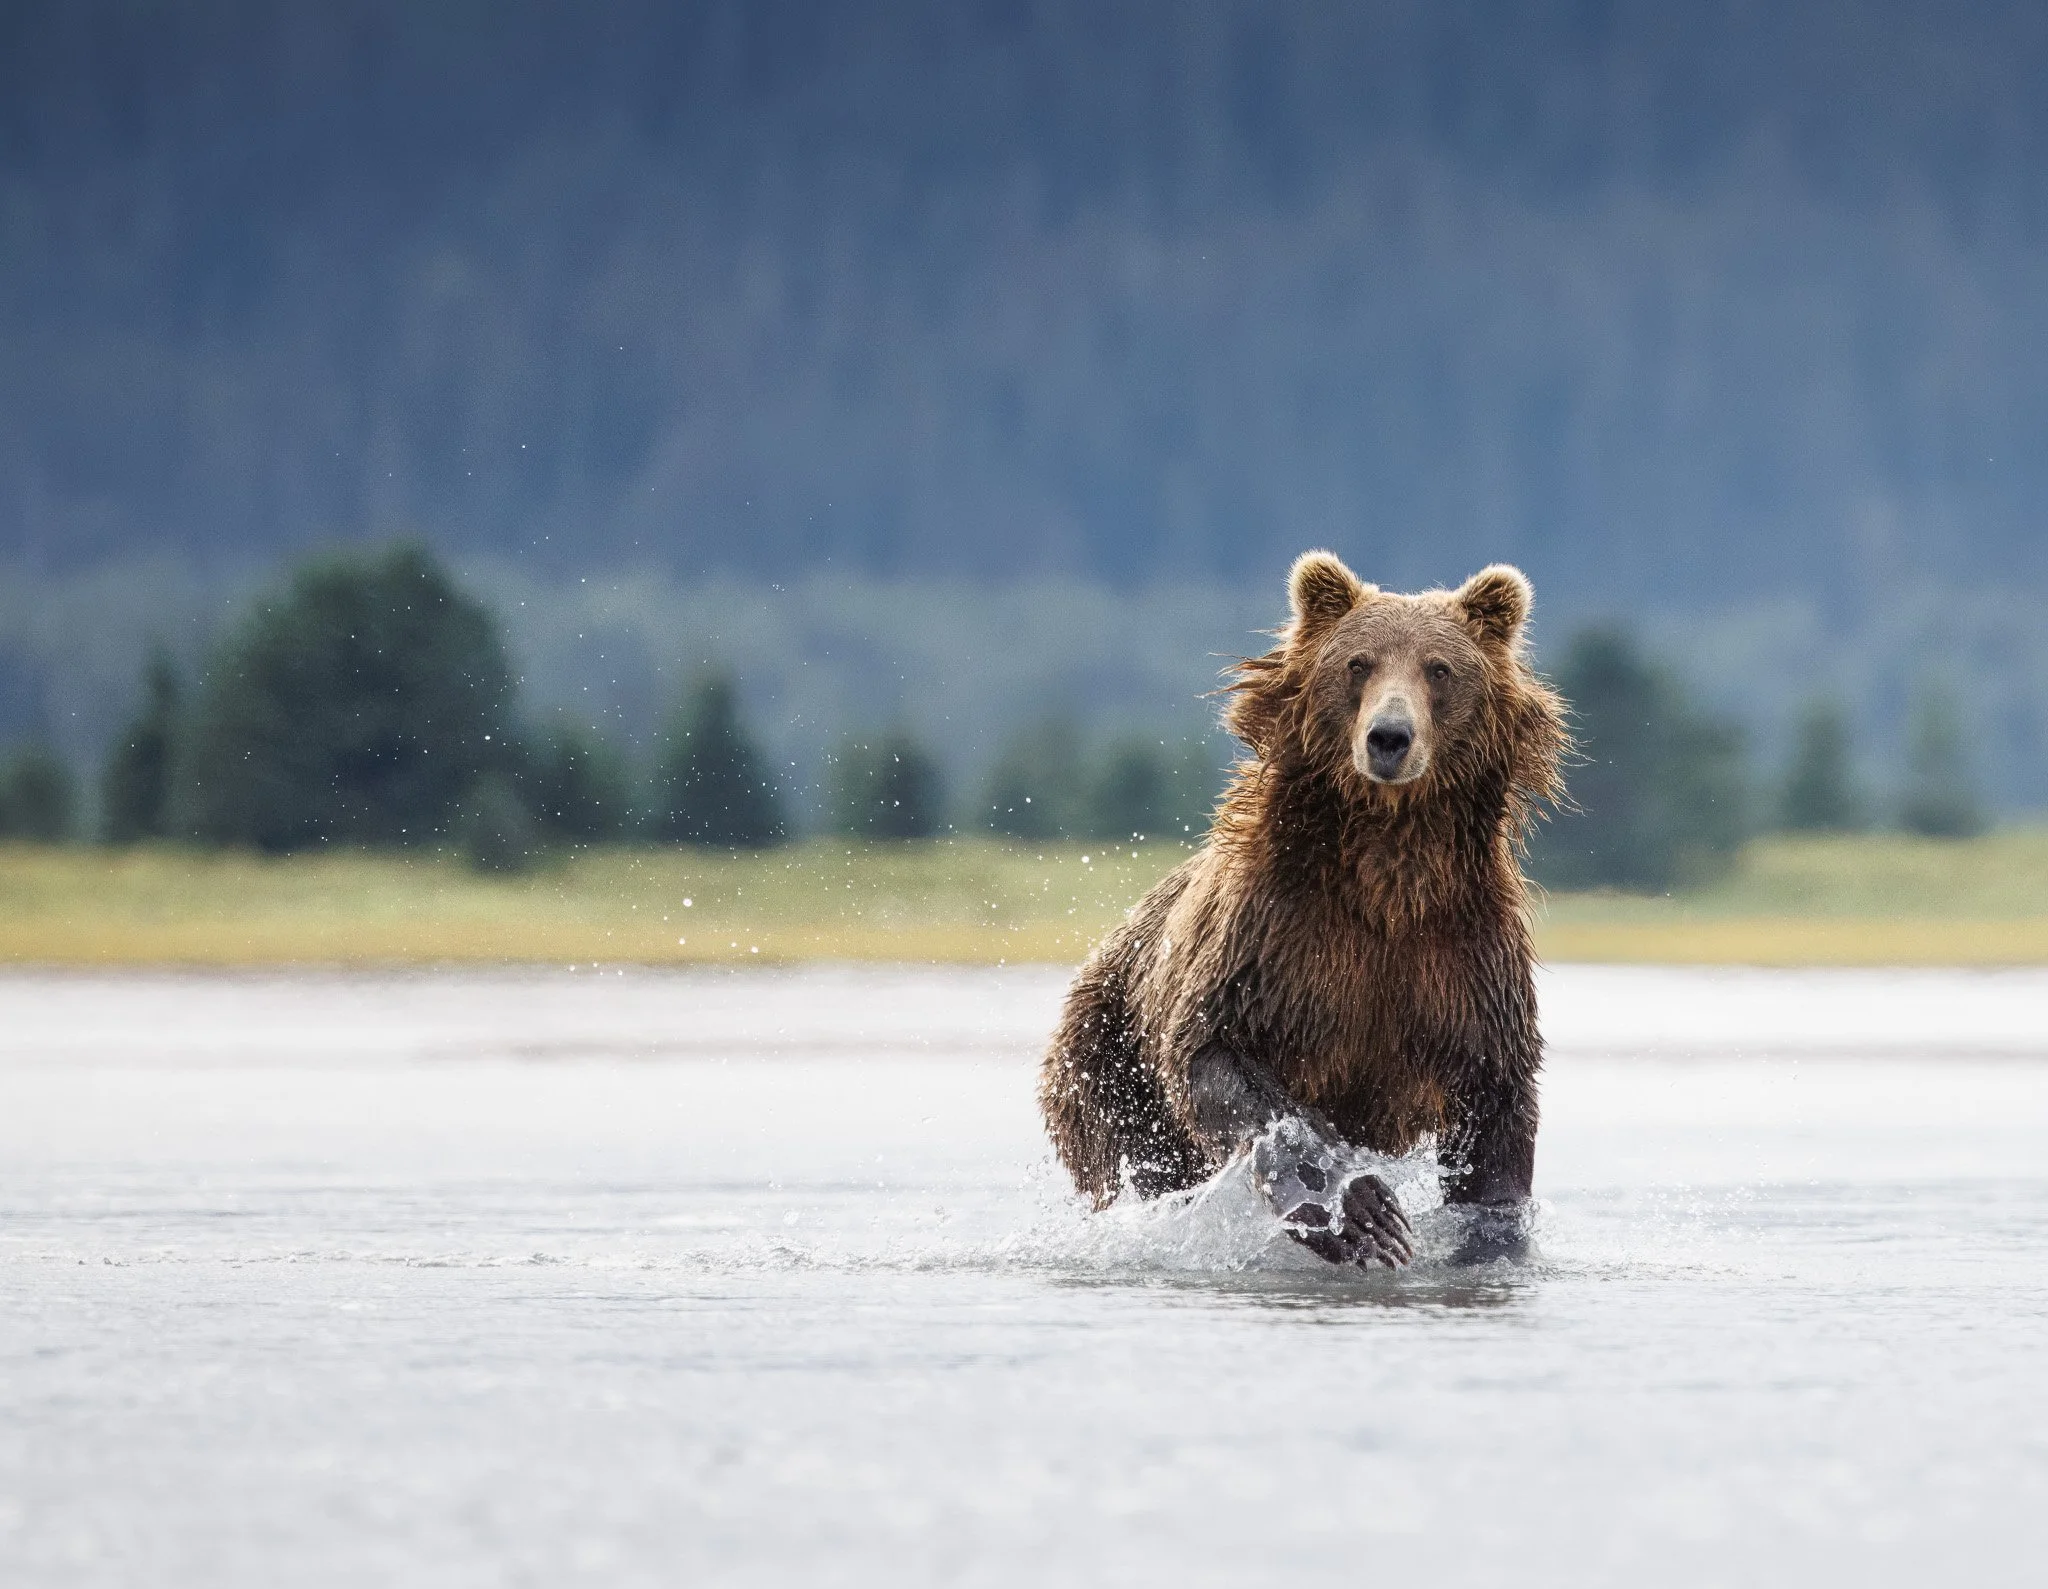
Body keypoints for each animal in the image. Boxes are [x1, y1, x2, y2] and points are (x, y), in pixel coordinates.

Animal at [1038, 552, 1567, 1268]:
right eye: (1358, 663)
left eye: (1440, 668)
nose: (1389, 737)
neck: (1387, 874)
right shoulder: (1270, 941)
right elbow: (1223, 1063)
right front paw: (1358, 1213)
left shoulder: (1464, 962)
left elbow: (1496, 1118)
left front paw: (1488, 1238)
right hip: (1107, 1056)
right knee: (1136, 1158)